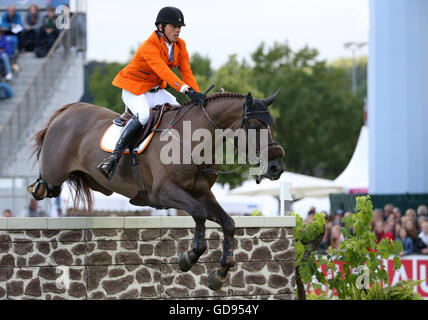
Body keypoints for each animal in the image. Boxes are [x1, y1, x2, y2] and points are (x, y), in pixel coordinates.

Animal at [28, 89, 286, 290]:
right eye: (256, 127)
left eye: (273, 126)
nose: (277, 167)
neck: (195, 140)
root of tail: (68, 110)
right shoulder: (164, 193)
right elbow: (199, 213)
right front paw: (189, 257)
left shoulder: (203, 194)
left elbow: (228, 223)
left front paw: (220, 273)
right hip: (53, 174)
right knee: (43, 187)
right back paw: (39, 186)